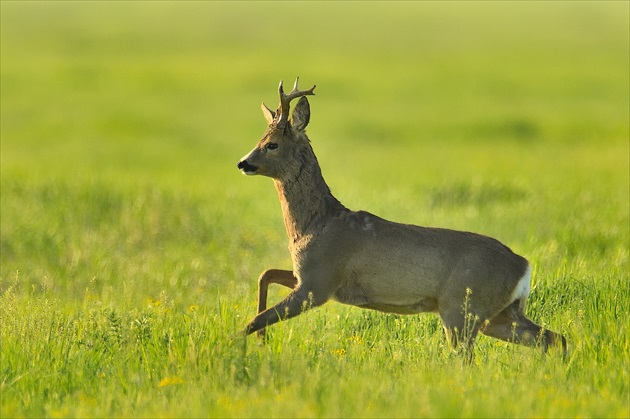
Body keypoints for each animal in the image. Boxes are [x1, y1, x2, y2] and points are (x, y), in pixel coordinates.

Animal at [236, 79, 568, 360]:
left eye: (272, 144)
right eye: (260, 138)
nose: (243, 163)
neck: (314, 225)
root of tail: (524, 265)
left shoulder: (318, 282)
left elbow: (254, 320)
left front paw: (235, 346)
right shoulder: (307, 276)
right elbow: (265, 274)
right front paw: (261, 342)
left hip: (462, 307)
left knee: (468, 356)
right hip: (498, 314)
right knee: (552, 337)